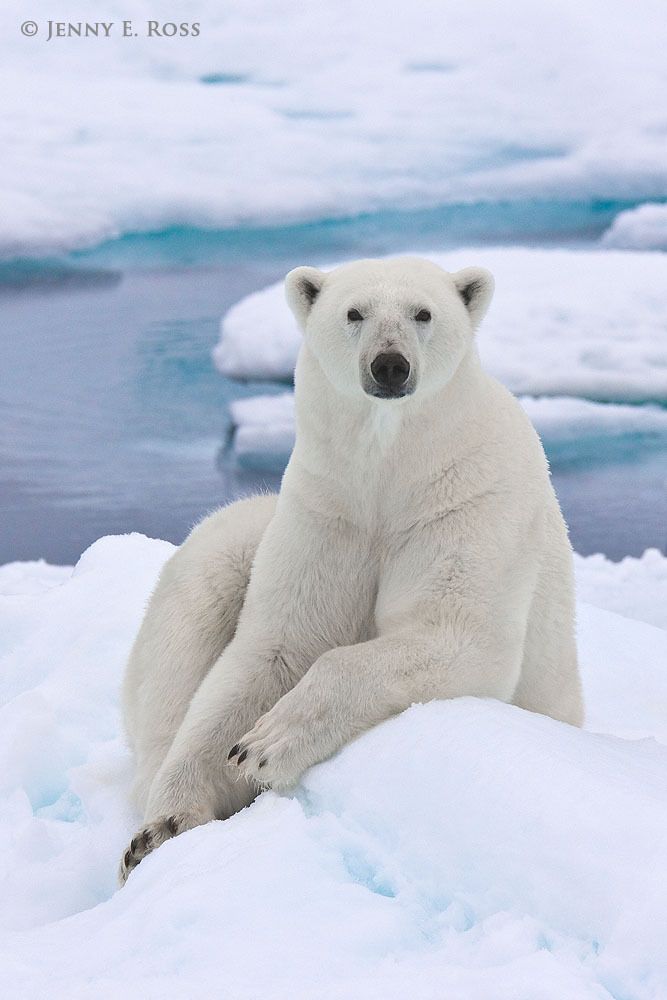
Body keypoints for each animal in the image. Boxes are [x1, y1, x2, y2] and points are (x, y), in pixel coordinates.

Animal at [119, 256, 583, 884]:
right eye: (354, 313)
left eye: (423, 313)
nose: (390, 366)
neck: (392, 475)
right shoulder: (329, 512)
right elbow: (272, 648)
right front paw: (161, 829)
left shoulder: (468, 502)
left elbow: (456, 633)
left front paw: (266, 744)